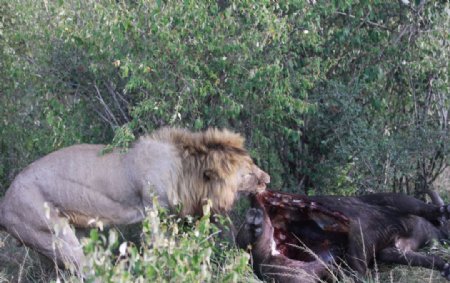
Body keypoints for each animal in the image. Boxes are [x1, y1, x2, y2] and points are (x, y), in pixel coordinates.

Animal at [0, 127, 268, 274]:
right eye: (248, 172)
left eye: (252, 164)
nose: (267, 178)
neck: (185, 171)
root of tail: (5, 203)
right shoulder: (152, 209)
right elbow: (160, 247)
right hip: (52, 234)